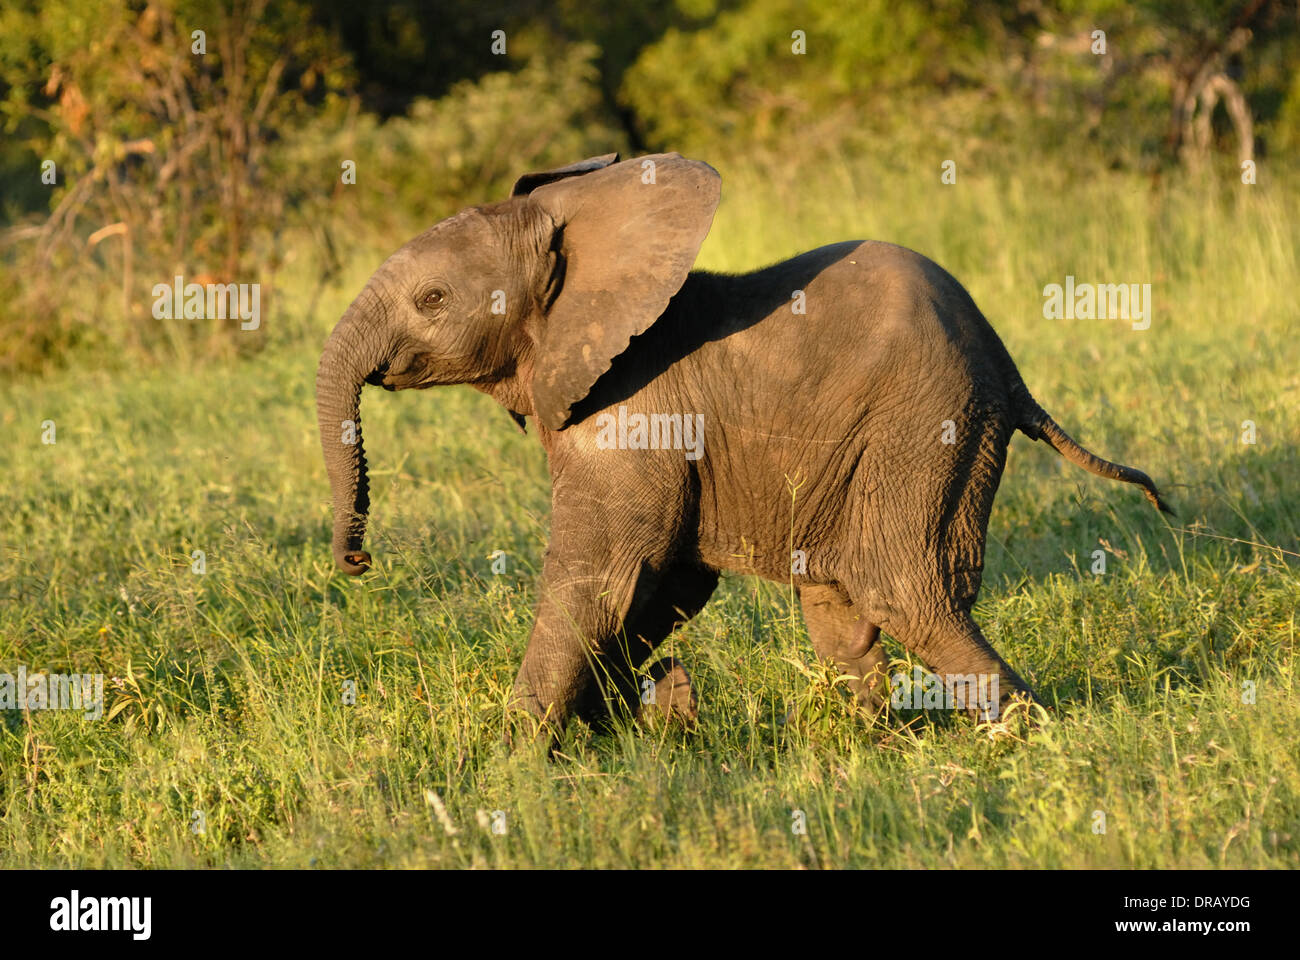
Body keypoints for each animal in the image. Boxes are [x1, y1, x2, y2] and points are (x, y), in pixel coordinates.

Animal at [315, 152, 1171, 739]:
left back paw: (1027, 738)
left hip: (930, 419)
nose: (357, 561)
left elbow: (602, 579)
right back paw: (866, 738)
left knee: (905, 590)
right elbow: (662, 586)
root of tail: (1009, 366)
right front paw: (635, 721)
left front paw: (517, 764)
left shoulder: (634, 412)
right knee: (840, 611)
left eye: (432, 299)